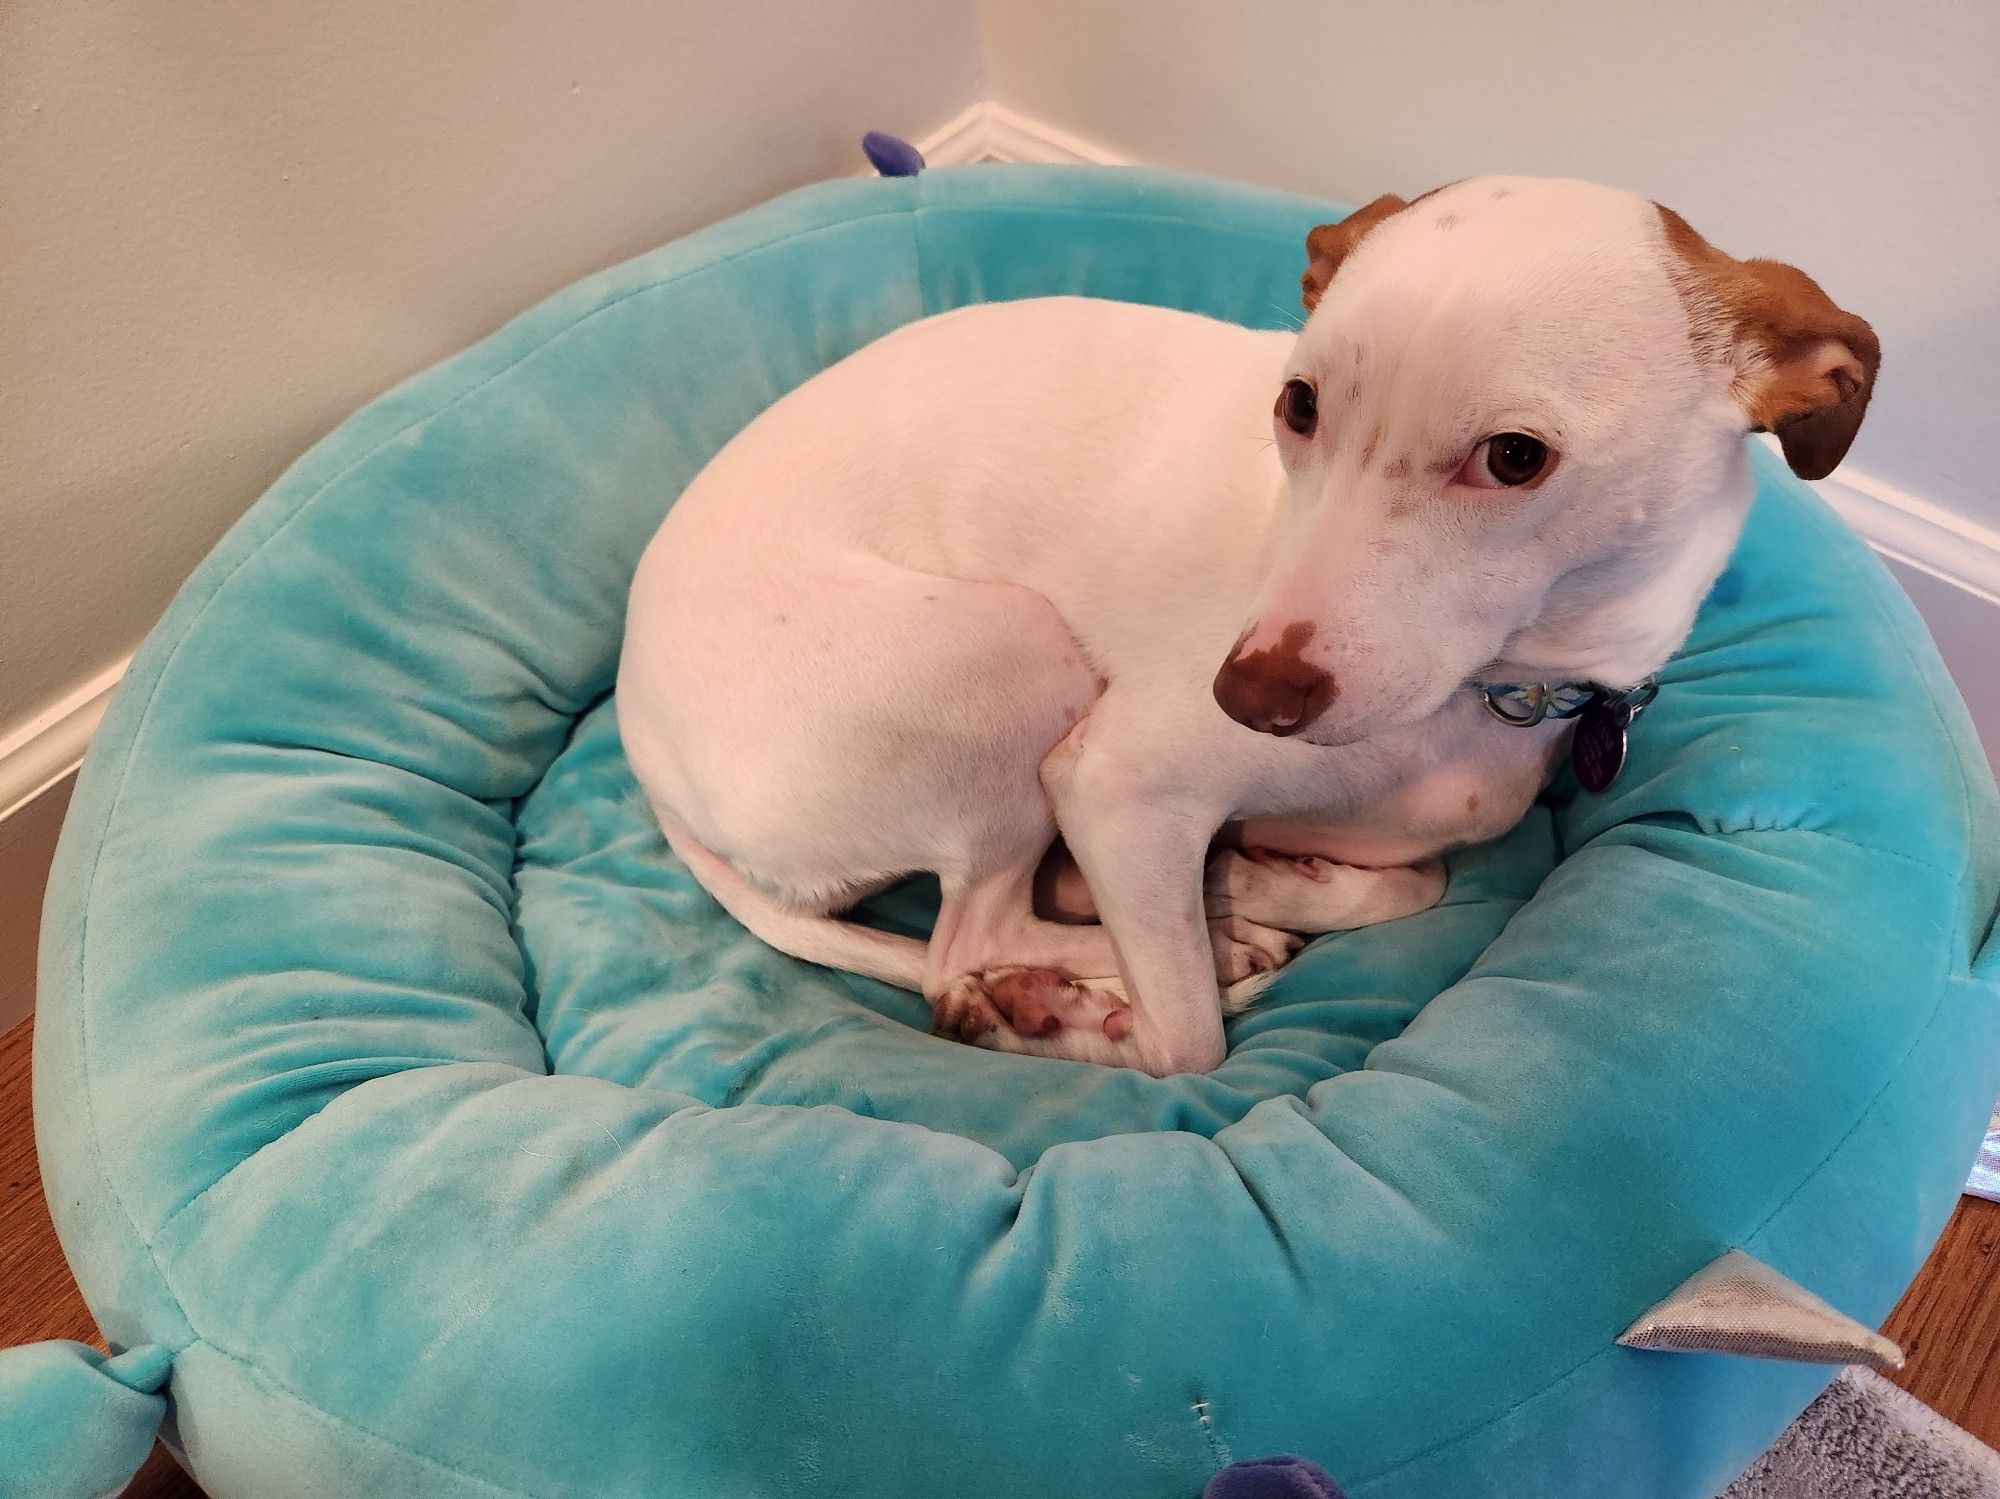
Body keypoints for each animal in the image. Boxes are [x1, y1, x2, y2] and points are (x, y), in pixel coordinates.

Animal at [620, 178, 1872, 1079]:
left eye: (1514, 457)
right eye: (1298, 404)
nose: (1246, 698)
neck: (1494, 689)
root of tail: (642, 739)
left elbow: (1406, 882)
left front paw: (1266, 880)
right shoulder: (1111, 787)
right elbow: (1184, 1041)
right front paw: (1106, 998)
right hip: (1010, 669)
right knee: (959, 945)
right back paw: (1089, 981)